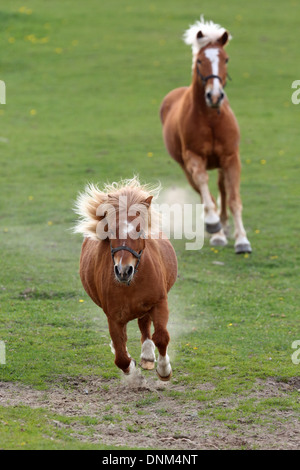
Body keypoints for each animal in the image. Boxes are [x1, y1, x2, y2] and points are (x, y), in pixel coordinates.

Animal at [73, 176, 177, 382]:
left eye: (140, 230)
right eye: (111, 230)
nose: (123, 270)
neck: (131, 284)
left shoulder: (159, 302)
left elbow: (161, 336)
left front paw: (164, 370)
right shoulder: (113, 316)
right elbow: (121, 356)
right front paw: (133, 372)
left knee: (144, 325)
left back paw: (147, 356)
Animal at [161, 16, 252, 253]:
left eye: (226, 59)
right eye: (200, 61)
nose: (215, 96)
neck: (210, 119)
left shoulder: (231, 158)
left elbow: (234, 199)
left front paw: (242, 240)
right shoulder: (194, 158)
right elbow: (204, 186)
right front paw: (213, 225)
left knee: (222, 189)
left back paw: (225, 227)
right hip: (185, 166)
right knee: (204, 192)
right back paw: (217, 231)